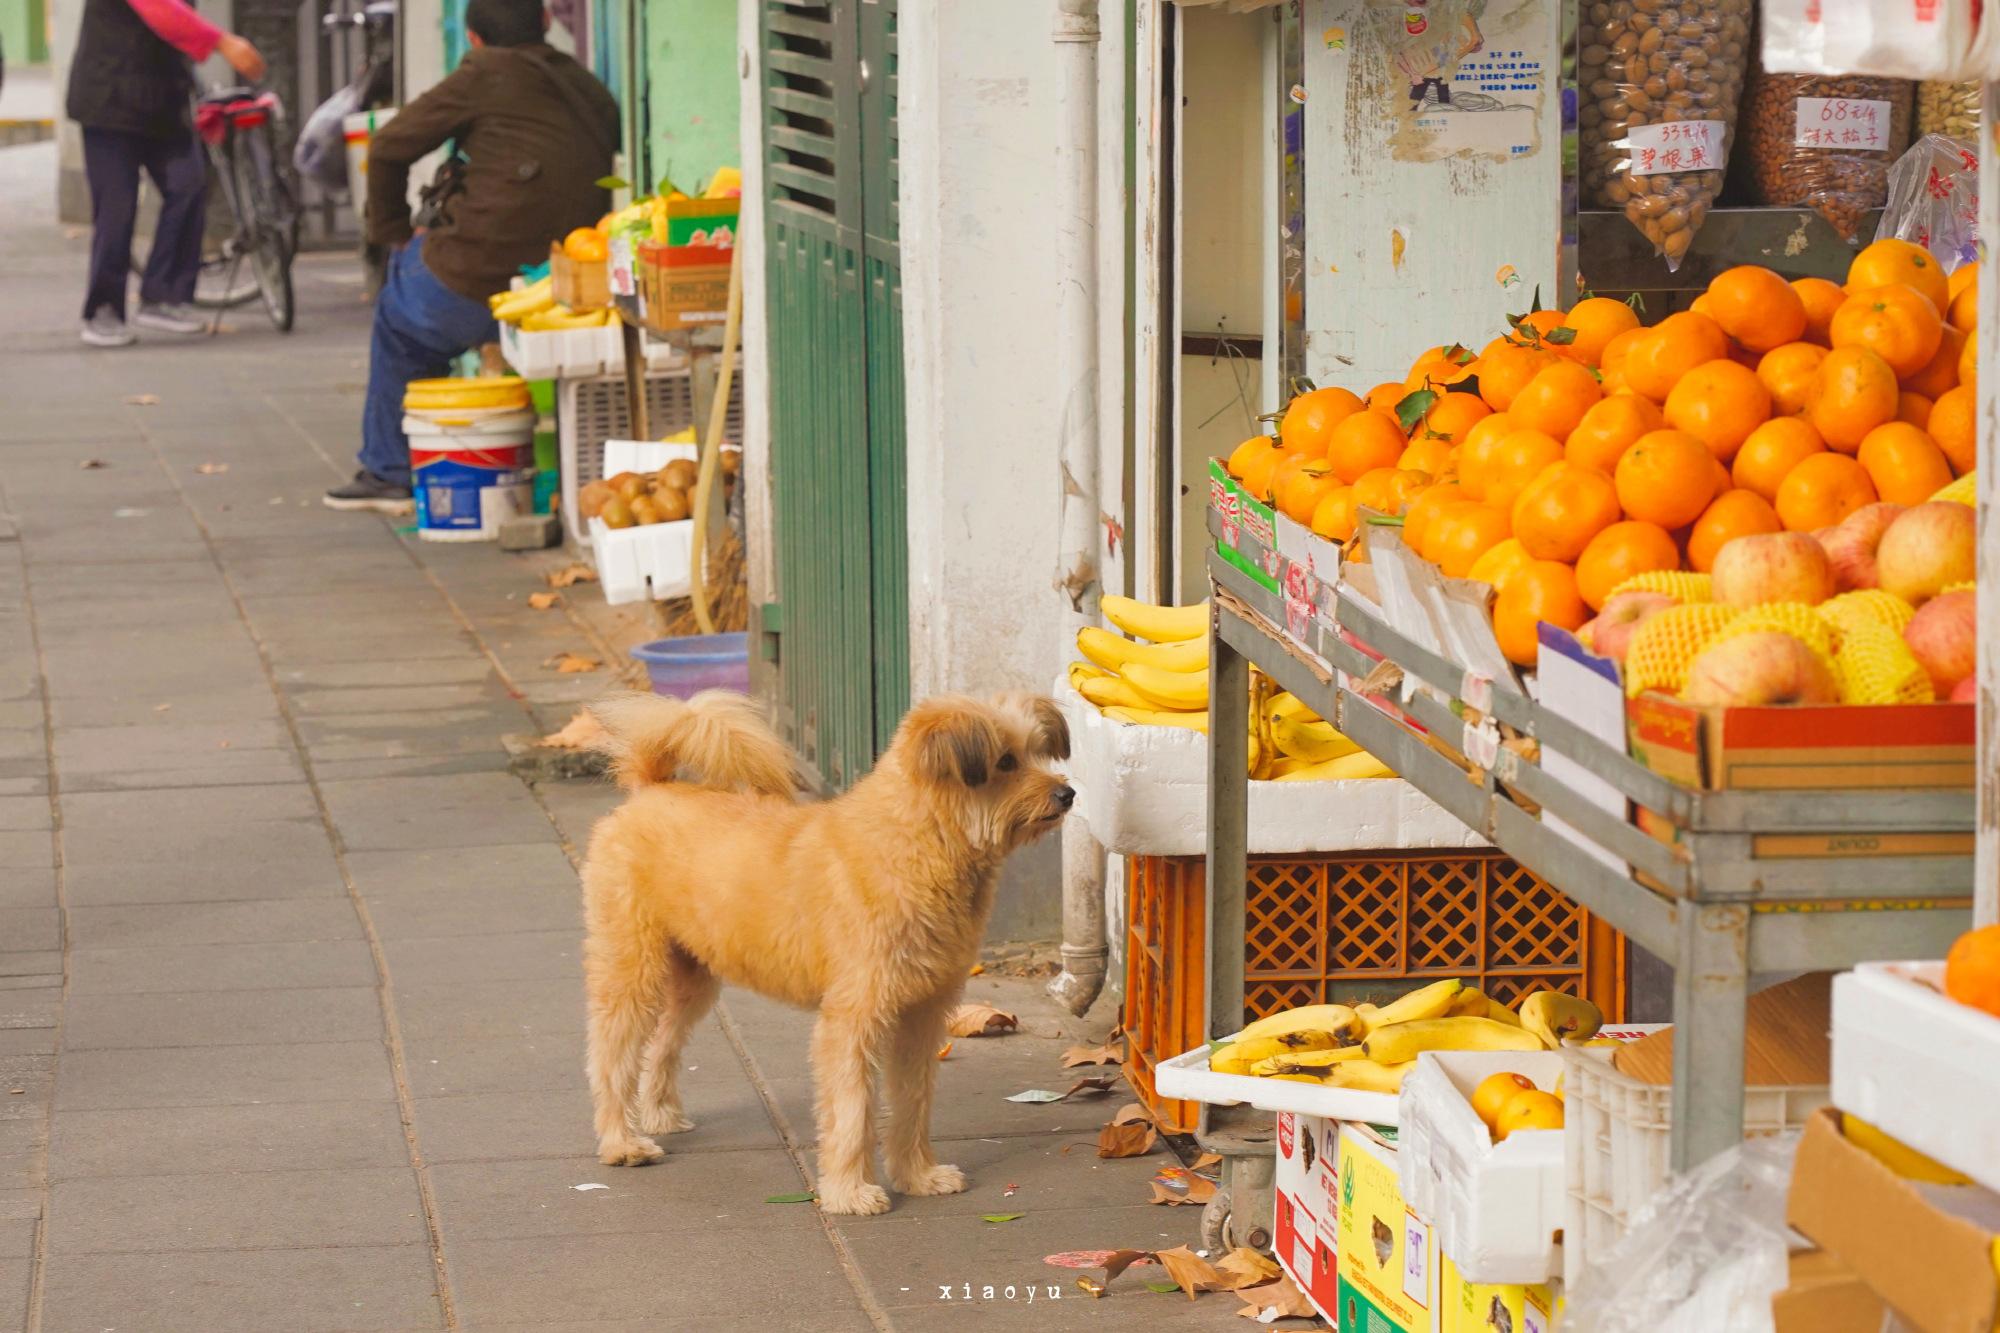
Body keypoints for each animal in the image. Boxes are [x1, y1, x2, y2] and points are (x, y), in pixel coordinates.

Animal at [584, 684, 1080, 1216]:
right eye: (1005, 761)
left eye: (1038, 751)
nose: (1068, 794)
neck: (912, 844)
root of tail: (650, 789)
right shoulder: (853, 1020)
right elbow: (852, 1112)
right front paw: (849, 1192)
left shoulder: (921, 1016)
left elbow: (913, 1103)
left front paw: (918, 1176)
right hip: (631, 968)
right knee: (612, 1055)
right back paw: (622, 1142)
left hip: (691, 979)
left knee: (661, 1045)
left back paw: (659, 1115)